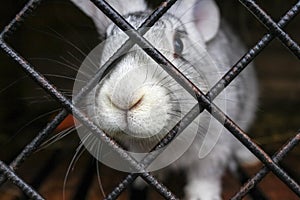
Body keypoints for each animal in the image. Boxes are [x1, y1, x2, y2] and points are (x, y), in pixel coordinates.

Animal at [69, 0, 258, 200]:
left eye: (179, 44)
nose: (123, 98)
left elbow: (205, 175)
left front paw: (202, 196)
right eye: (104, 45)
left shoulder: (215, 147)